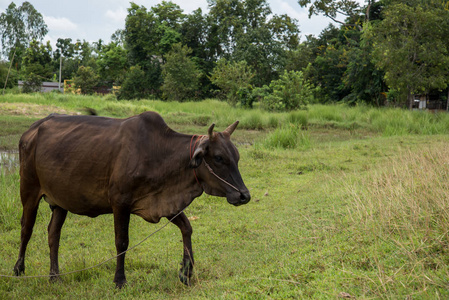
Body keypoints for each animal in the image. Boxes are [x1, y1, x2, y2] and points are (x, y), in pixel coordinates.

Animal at [12, 111, 250, 288]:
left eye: (237, 157)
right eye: (219, 158)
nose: (244, 195)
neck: (159, 154)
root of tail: (30, 130)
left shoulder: (166, 204)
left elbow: (187, 229)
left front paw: (186, 272)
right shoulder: (120, 203)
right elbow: (122, 242)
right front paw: (119, 280)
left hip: (61, 201)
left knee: (53, 233)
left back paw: (55, 276)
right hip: (29, 190)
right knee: (26, 229)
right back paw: (18, 269)